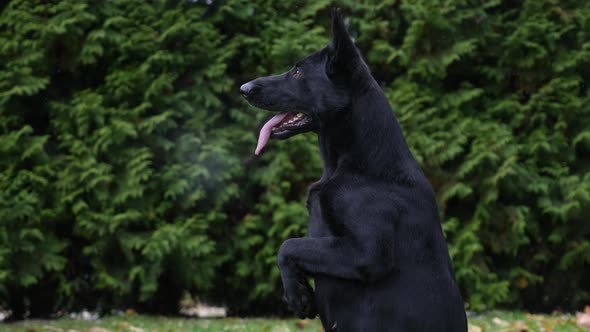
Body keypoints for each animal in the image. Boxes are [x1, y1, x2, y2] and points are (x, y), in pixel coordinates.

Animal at [240, 8, 468, 332]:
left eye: (298, 72)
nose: (243, 89)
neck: (360, 164)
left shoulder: (366, 255)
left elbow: (289, 245)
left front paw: (297, 295)